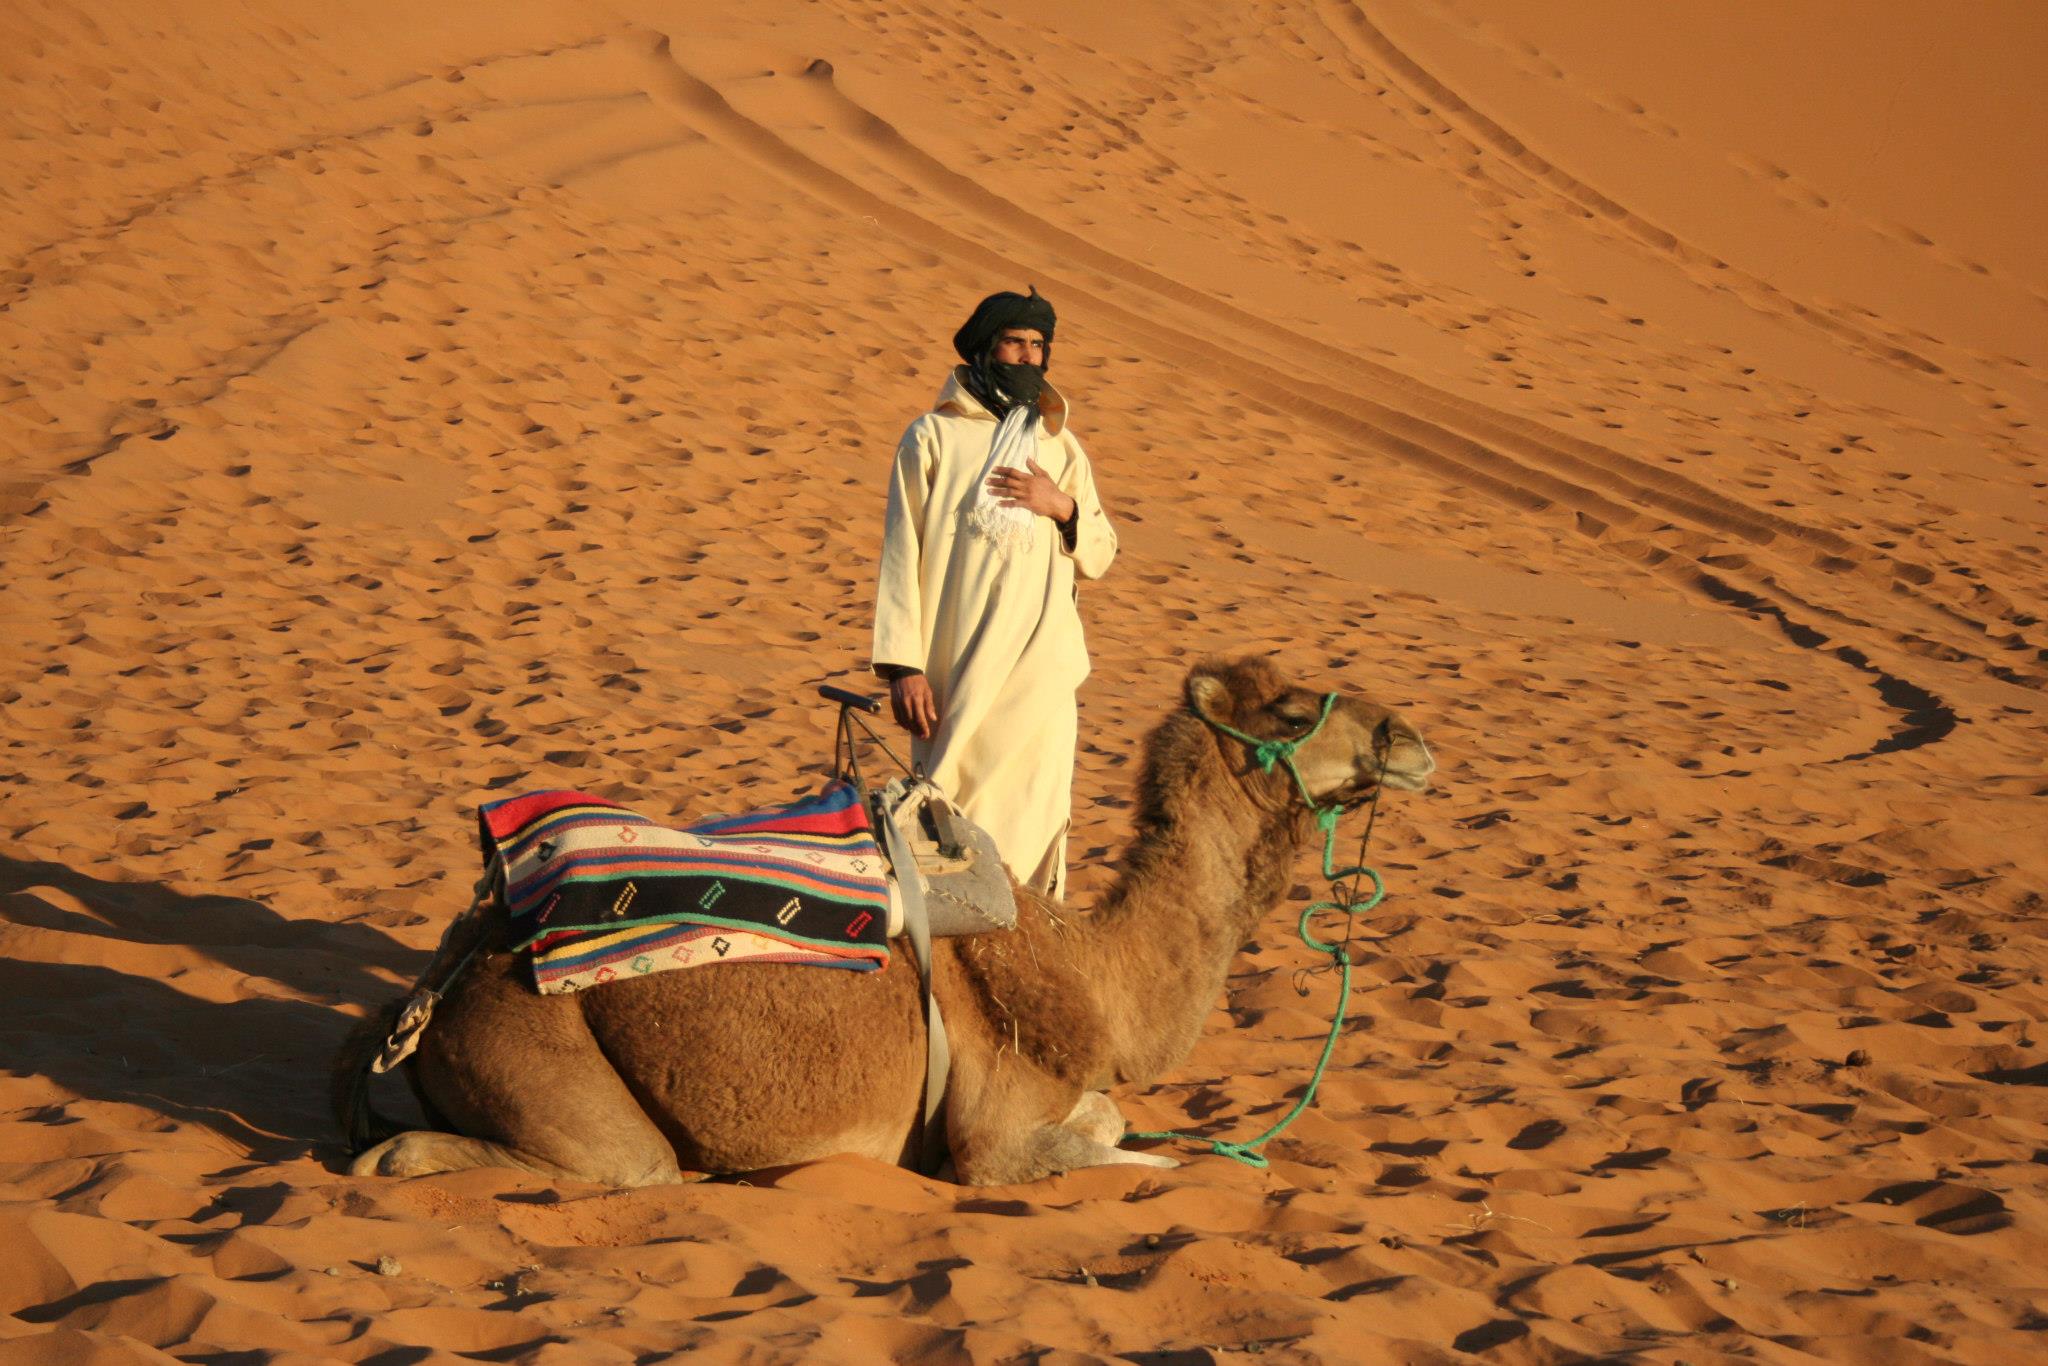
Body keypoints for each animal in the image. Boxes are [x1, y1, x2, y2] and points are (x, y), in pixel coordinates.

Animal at [331, 659, 1425, 1187]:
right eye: (1291, 711)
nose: (1410, 734)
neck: (1091, 969)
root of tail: (437, 991)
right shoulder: (993, 1140)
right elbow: (1133, 1156)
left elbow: (1116, 1120)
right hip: (536, 1044)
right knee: (575, 1163)